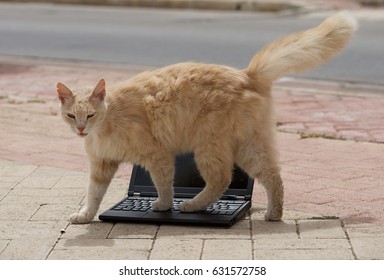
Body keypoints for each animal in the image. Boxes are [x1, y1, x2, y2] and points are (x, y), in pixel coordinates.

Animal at [57, 12, 356, 224]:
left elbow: (164, 185)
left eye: (90, 115)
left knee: (221, 180)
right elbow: (93, 194)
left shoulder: (158, 156)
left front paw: (164, 206)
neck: (105, 123)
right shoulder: (102, 165)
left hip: (208, 146)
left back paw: (191, 205)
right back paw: (274, 214)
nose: (81, 129)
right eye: (71, 116)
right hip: (249, 147)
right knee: (273, 176)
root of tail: (246, 74)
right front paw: (85, 216)